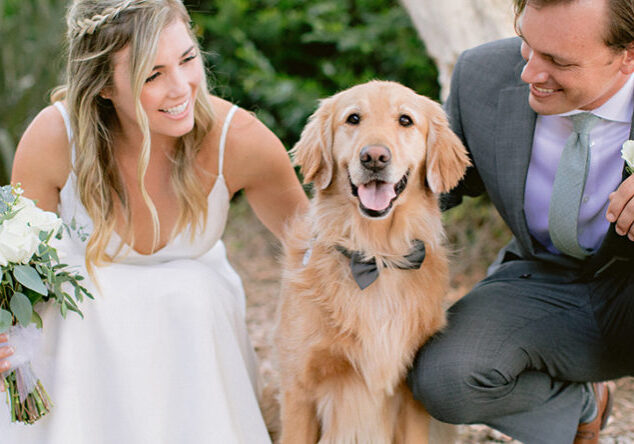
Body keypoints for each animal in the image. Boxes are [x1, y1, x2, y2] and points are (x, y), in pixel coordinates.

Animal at [272, 80, 470, 444]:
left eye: (405, 120)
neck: (376, 255)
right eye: (353, 118)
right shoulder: (299, 388)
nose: (374, 157)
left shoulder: (411, 396)